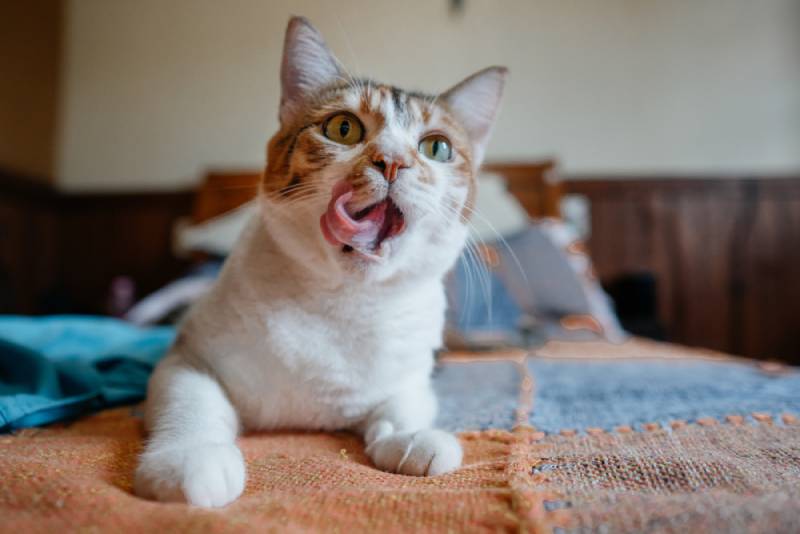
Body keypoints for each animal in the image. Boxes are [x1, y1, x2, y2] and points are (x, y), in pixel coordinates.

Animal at [134, 15, 504, 510]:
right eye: (343, 128)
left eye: (437, 148)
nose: (392, 161)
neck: (343, 304)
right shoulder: (187, 356)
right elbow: (192, 402)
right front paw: (188, 461)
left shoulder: (411, 375)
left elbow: (402, 404)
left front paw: (412, 438)